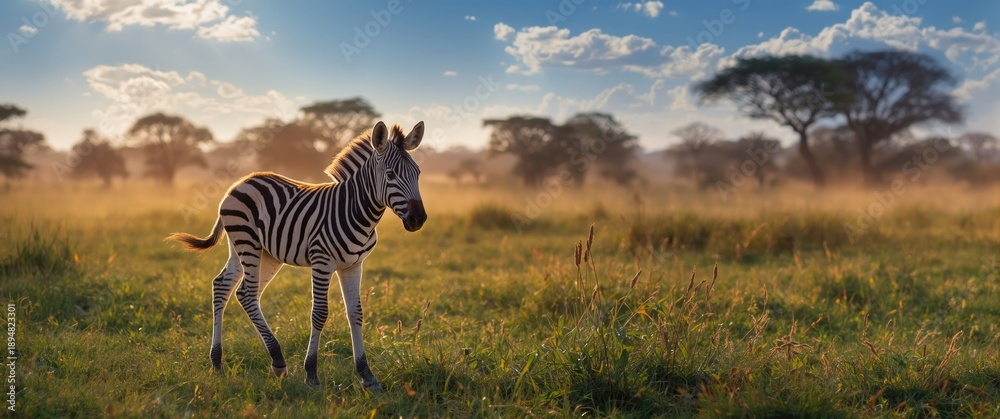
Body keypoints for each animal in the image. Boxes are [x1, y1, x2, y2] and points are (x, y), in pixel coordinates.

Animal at [167, 121, 427, 391]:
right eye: (390, 175)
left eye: (418, 173)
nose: (418, 219)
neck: (354, 210)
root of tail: (240, 182)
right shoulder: (322, 261)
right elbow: (320, 313)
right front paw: (311, 373)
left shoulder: (353, 265)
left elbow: (356, 313)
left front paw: (367, 375)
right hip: (247, 241)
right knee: (246, 293)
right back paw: (277, 359)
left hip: (256, 251)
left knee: (226, 287)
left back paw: (218, 362)